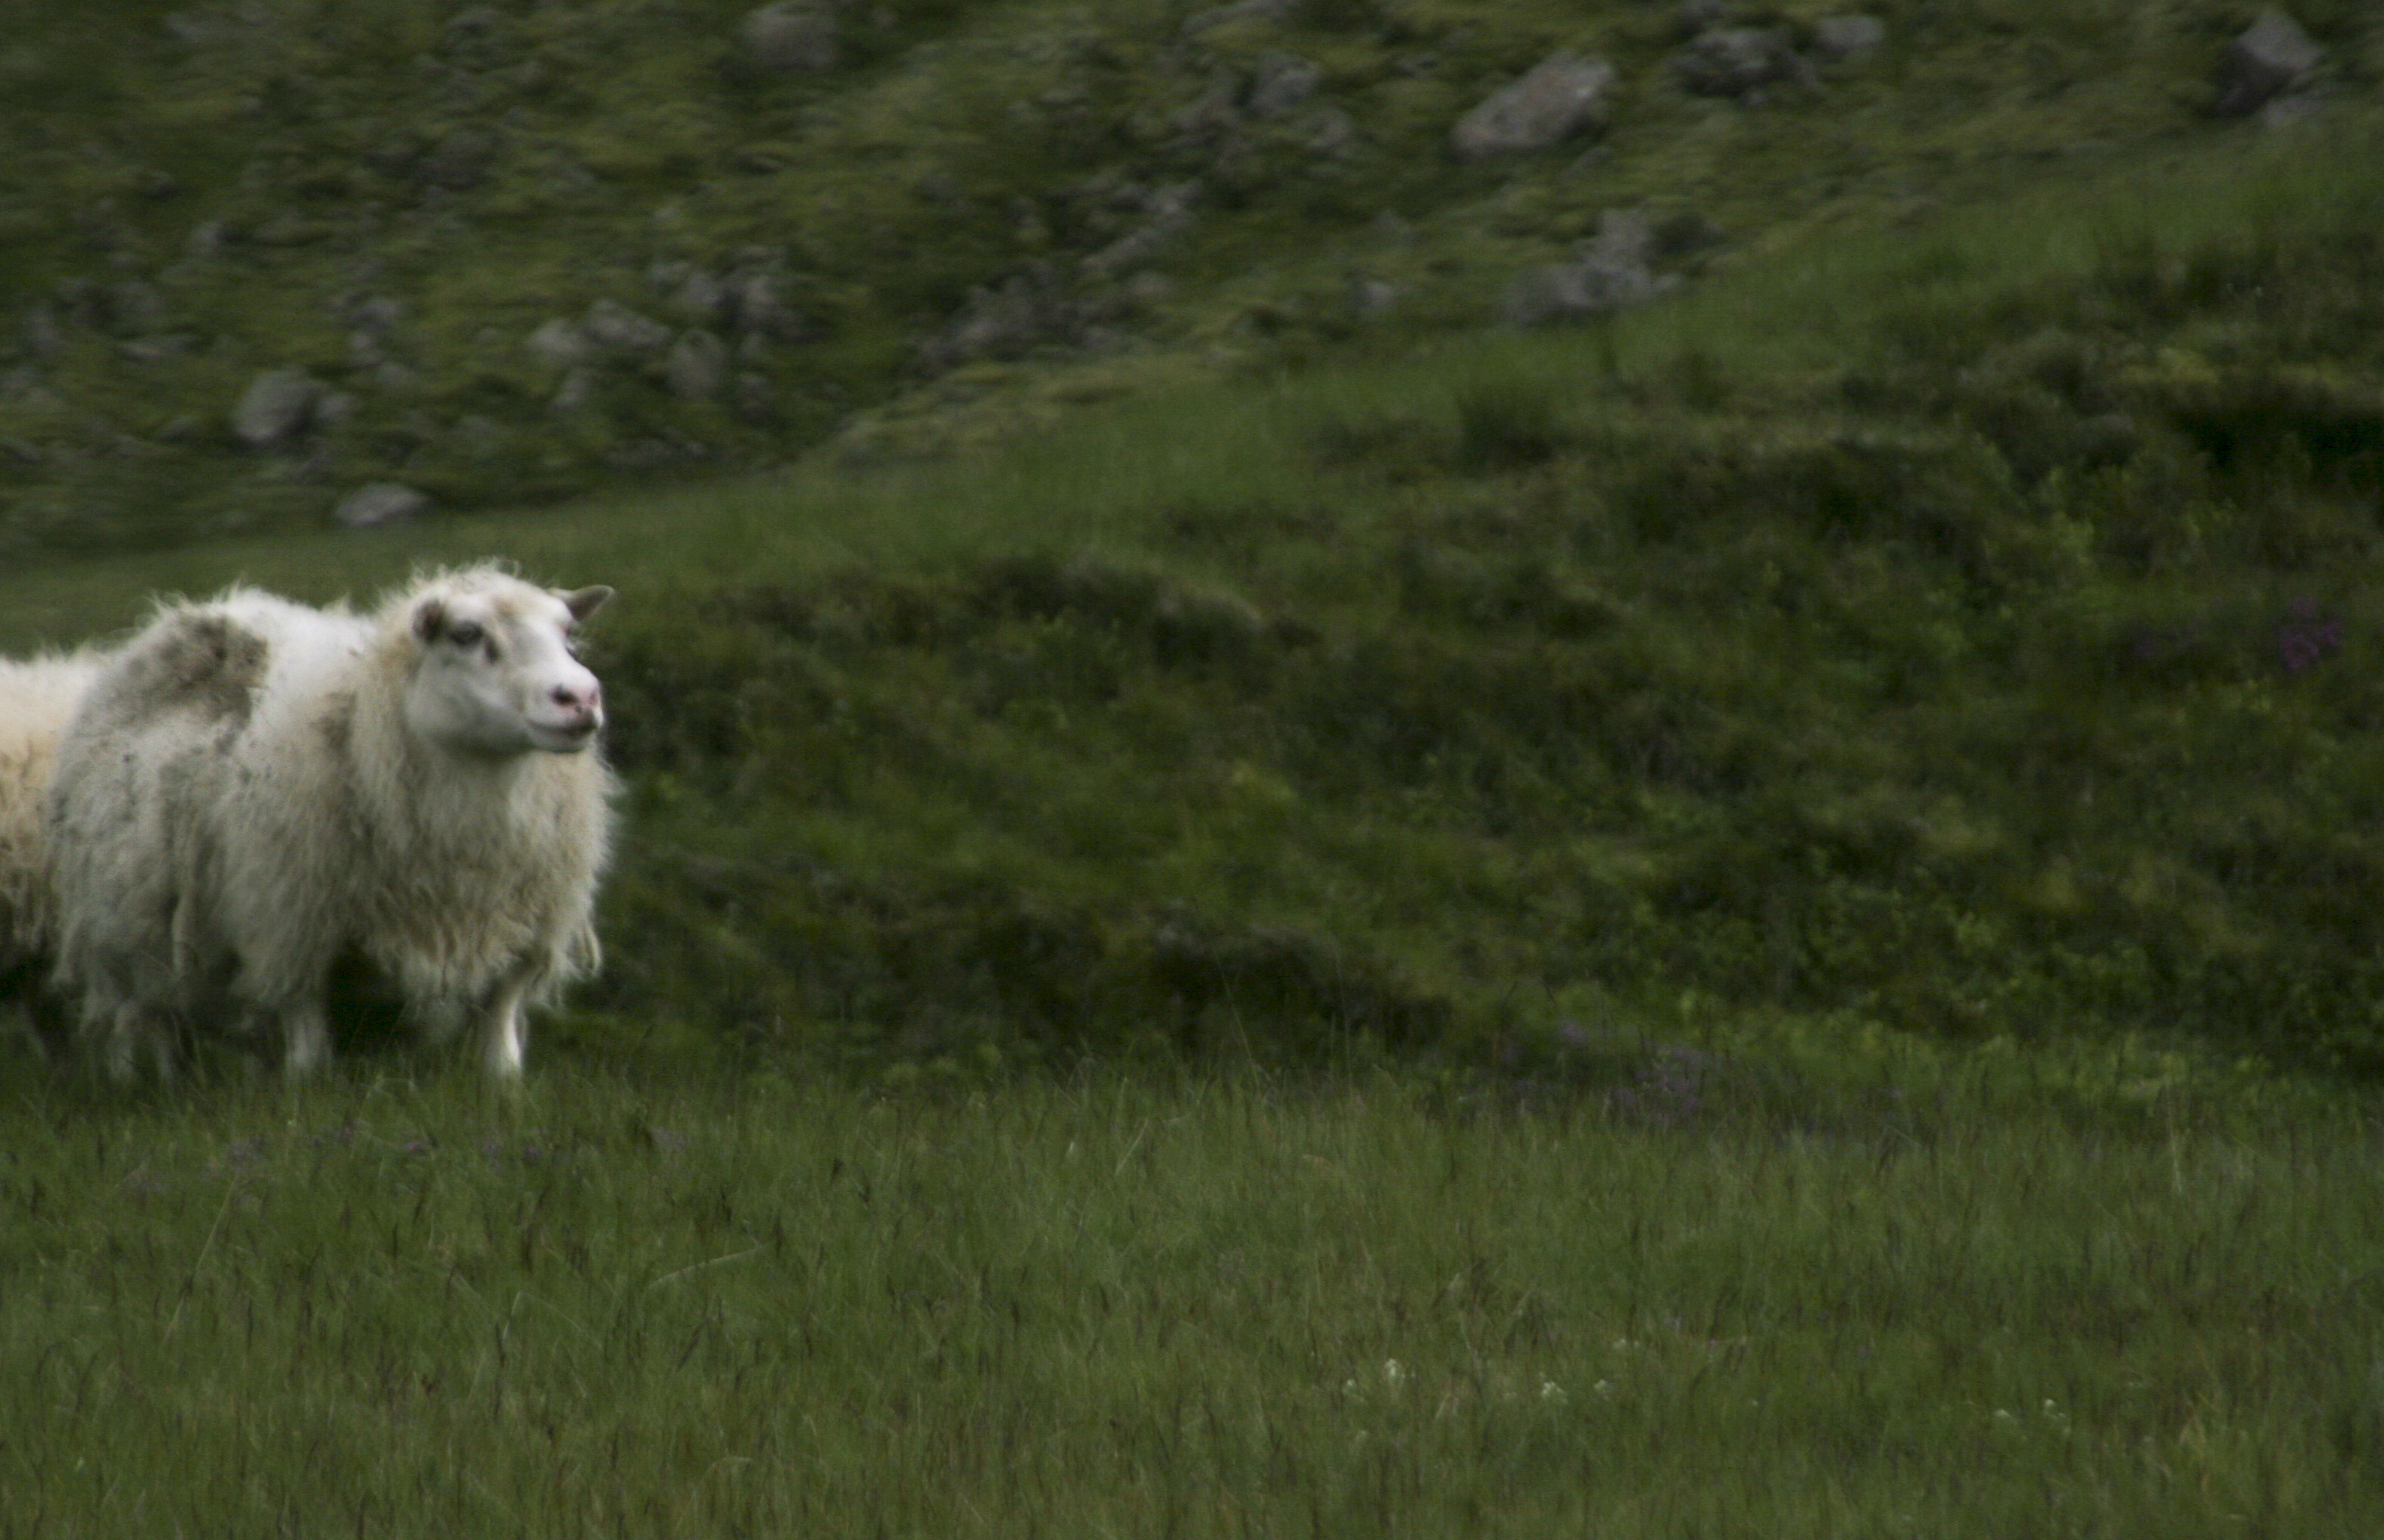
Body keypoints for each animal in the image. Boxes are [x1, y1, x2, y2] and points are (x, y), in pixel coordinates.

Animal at [49, 566, 616, 1079]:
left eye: (567, 633)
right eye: (466, 634)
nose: (581, 698)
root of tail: (189, 616)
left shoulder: (527, 927)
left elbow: (500, 1020)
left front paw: (505, 1083)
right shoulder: (290, 926)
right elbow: (306, 1031)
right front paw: (307, 1086)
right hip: (131, 943)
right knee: (159, 1024)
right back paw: (168, 1085)